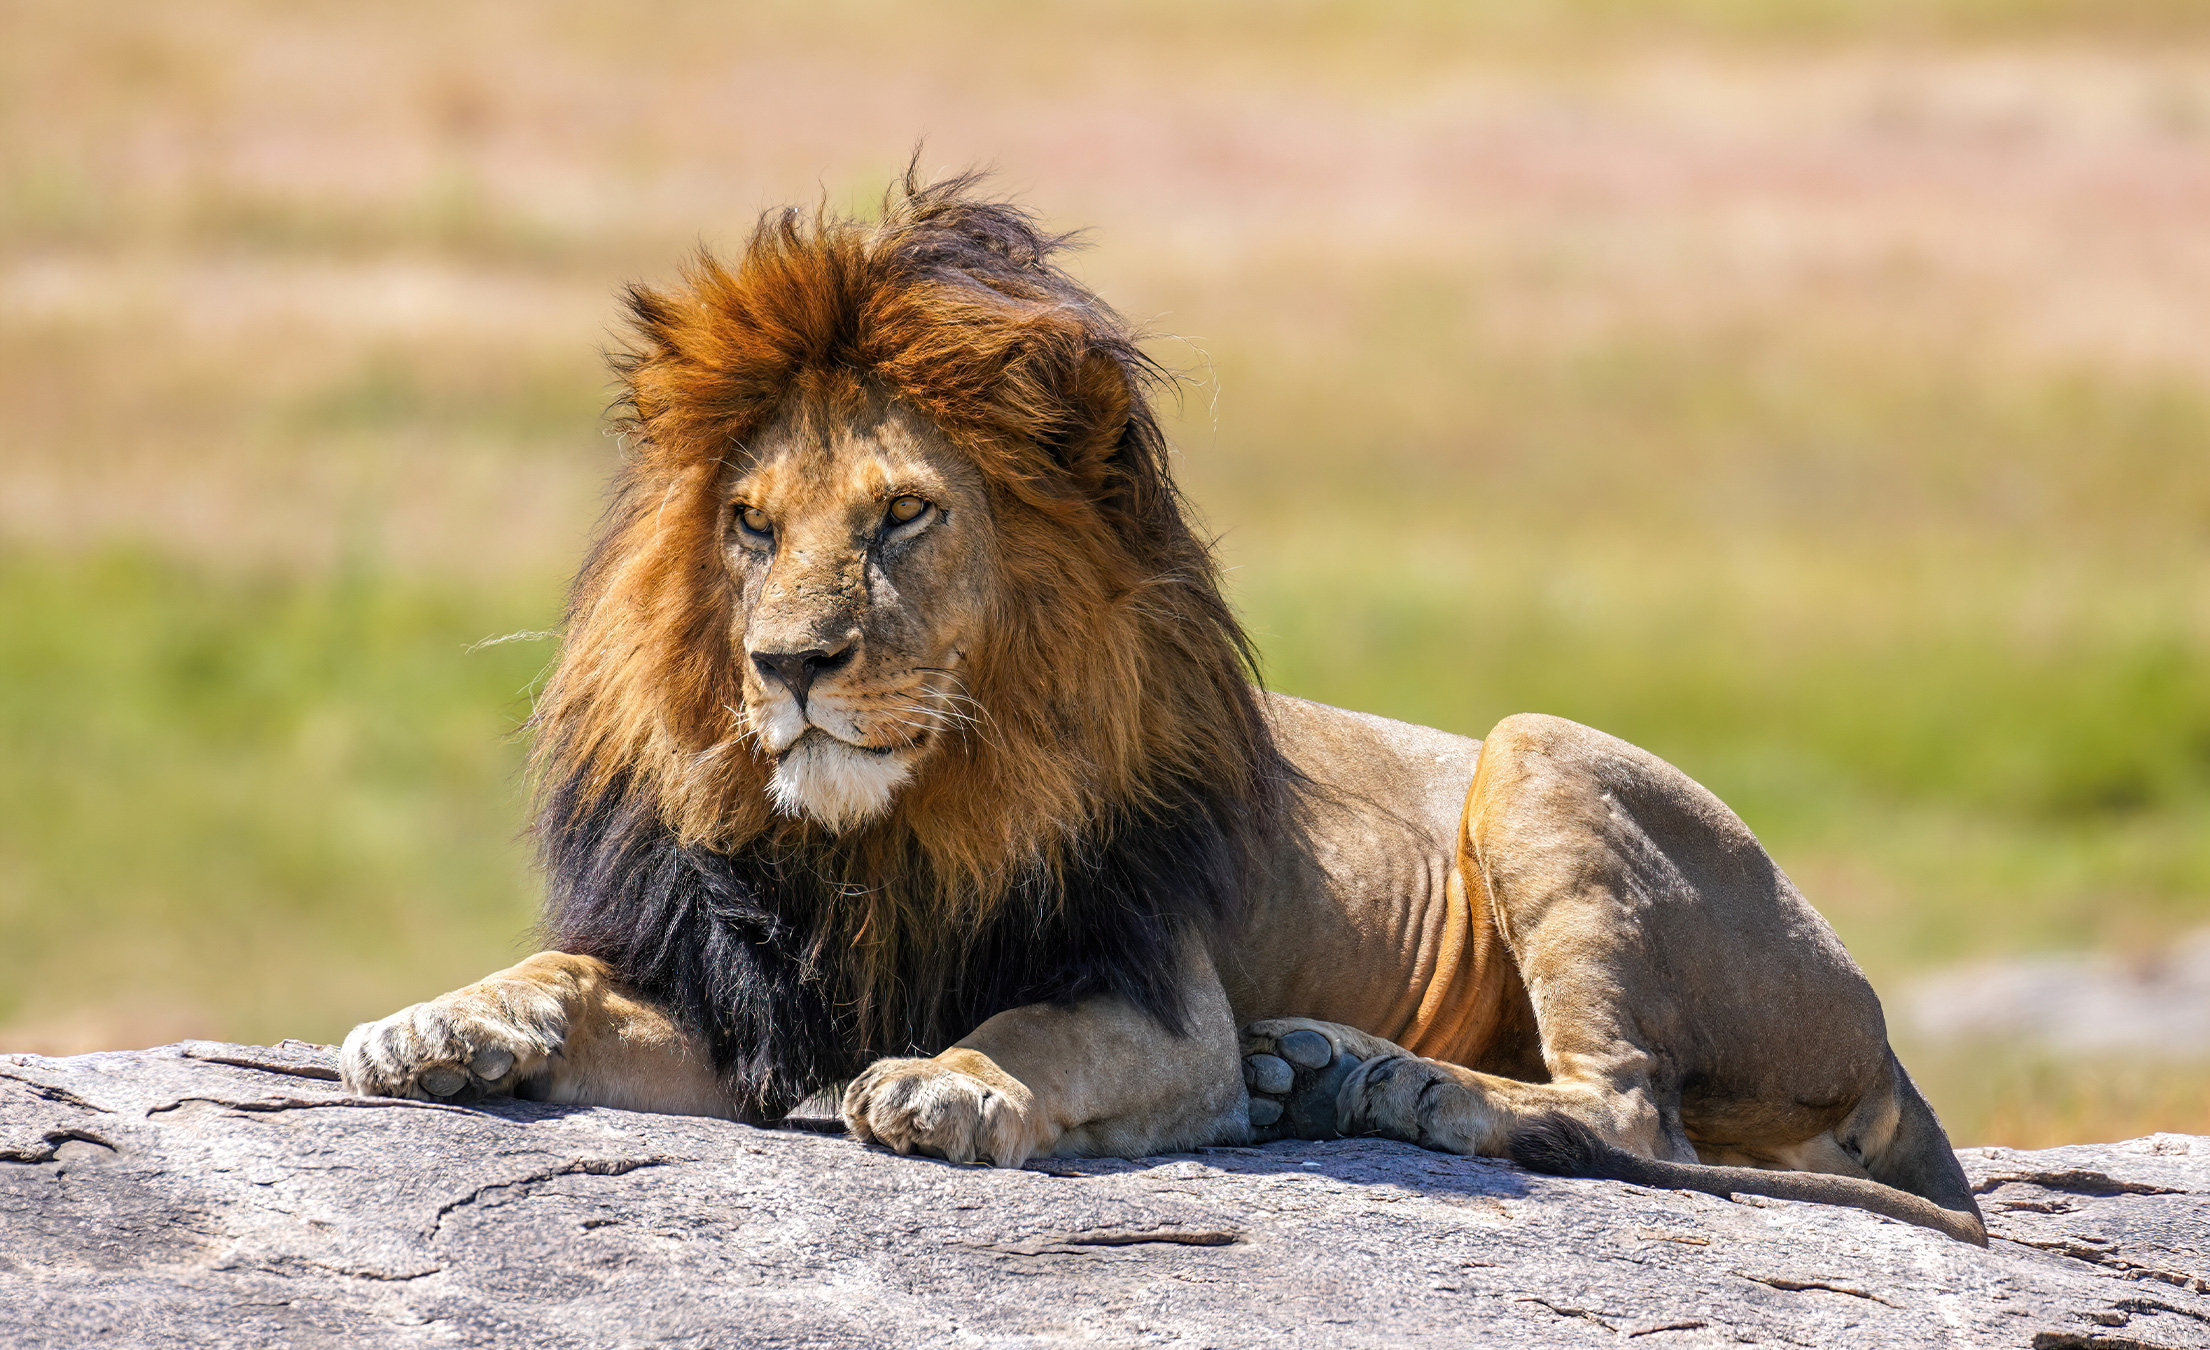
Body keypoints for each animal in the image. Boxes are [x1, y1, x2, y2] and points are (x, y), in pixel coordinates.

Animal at [339, 172, 1986, 1245]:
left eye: (902, 516)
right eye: (748, 525)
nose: (788, 665)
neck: (889, 837)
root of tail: (1881, 1033)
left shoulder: (1159, 999)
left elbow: (1032, 1032)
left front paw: (950, 1081)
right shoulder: (745, 1005)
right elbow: (560, 973)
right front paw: (439, 1023)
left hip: (1538, 756)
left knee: (1625, 1111)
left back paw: (1363, 1078)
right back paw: (1324, 1074)